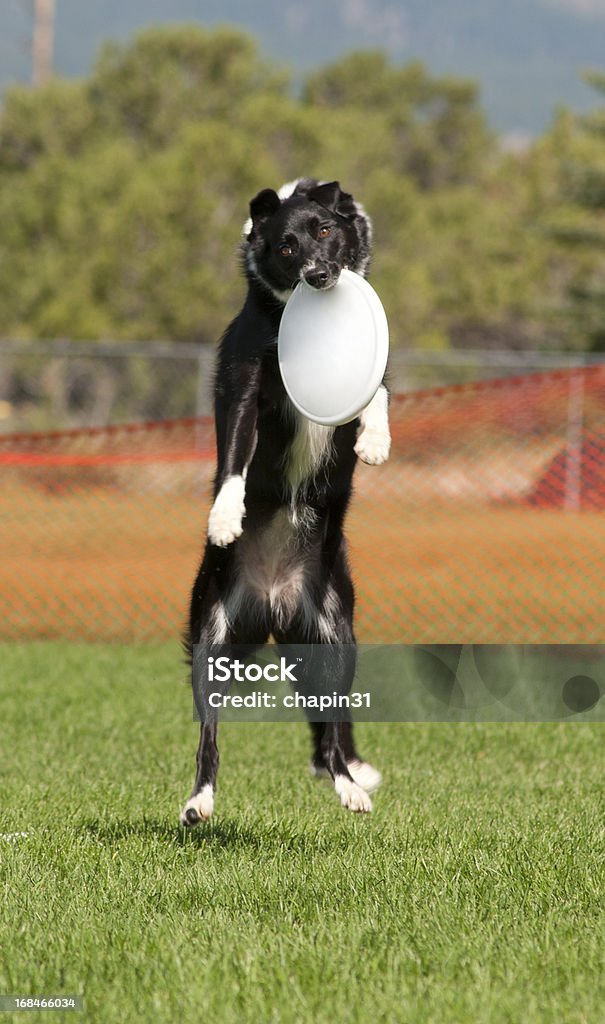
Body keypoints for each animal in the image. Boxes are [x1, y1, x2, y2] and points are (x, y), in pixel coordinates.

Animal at [180, 178, 391, 823]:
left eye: (325, 230)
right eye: (286, 246)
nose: (319, 276)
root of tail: (273, 603)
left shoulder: (371, 375)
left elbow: (376, 397)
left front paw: (376, 442)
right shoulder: (245, 389)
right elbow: (233, 458)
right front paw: (225, 518)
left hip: (336, 640)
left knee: (331, 733)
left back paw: (349, 785)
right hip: (213, 637)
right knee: (209, 737)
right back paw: (198, 801)